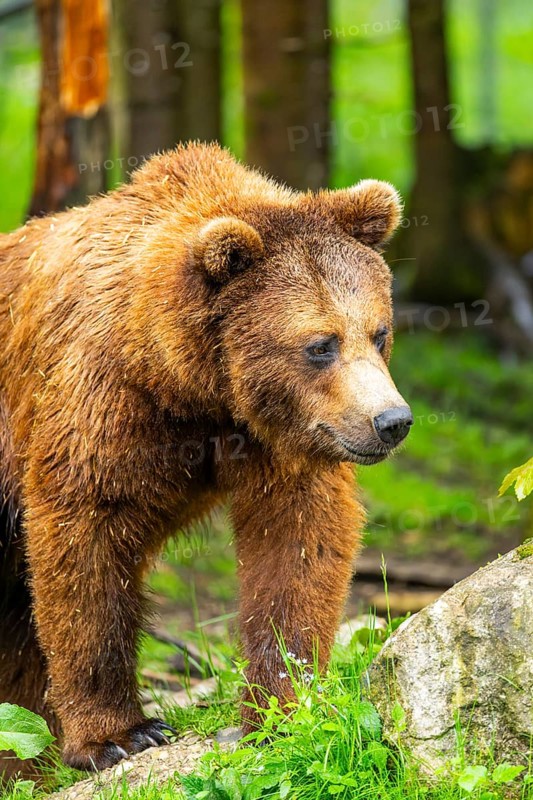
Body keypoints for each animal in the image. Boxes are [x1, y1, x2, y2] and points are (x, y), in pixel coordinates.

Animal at [0, 142, 412, 774]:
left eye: (379, 332)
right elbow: (84, 538)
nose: (391, 421)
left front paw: (280, 712)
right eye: (321, 344)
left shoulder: (278, 441)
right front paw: (119, 734)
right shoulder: (101, 398)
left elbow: (296, 548)